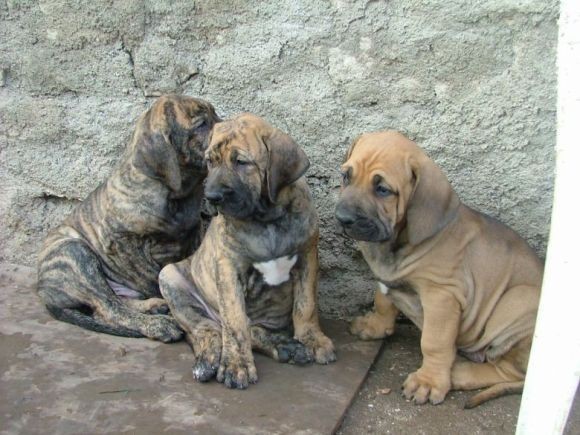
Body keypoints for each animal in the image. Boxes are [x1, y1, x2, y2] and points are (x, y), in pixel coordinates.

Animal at [37, 95, 221, 344]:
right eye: (202, 124)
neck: (175, 194)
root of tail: (43, 289)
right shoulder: (121, 241)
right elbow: (149, 276)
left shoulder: (192, 232)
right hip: (74, 253)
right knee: (108, 308)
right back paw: (157, 324)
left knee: (110, 303)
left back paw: (152, 306)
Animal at [161, 114, 338, 390]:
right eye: (210, 161)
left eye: (241, 162)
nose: (212, 196)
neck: (266, 219)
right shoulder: (228, 268)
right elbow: (234, 322)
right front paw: (237, 365)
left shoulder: (307, 256)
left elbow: (306, 304)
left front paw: (312, 339)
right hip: (170, 276)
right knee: (209, 328)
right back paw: (209, 360)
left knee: (251, 328)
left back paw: (286, 346)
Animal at [336, 132, 544, 408]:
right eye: (346, 176)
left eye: (383, 190)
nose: (342, 218)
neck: (399, 241)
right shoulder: (388, 276)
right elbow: (383, 301)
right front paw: (376, 326)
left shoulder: (442, 296)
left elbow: (434, 342)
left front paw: (429, 381)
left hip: (516, 300)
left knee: (509, 371)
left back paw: (459, 372)